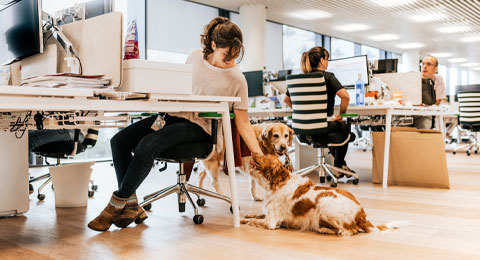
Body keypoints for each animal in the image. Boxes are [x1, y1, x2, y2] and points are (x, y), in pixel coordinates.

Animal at [240, 153, 404, 237]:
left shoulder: (271, 222)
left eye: (264, 156)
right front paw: (246, 215)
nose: (252, 152)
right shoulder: (268, 214)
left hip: (325, 206)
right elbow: (255, 215)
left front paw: (242, 221)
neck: (277, 182)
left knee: (348, 231)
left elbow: (253, 221)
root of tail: (361, 215)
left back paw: (325, 230)